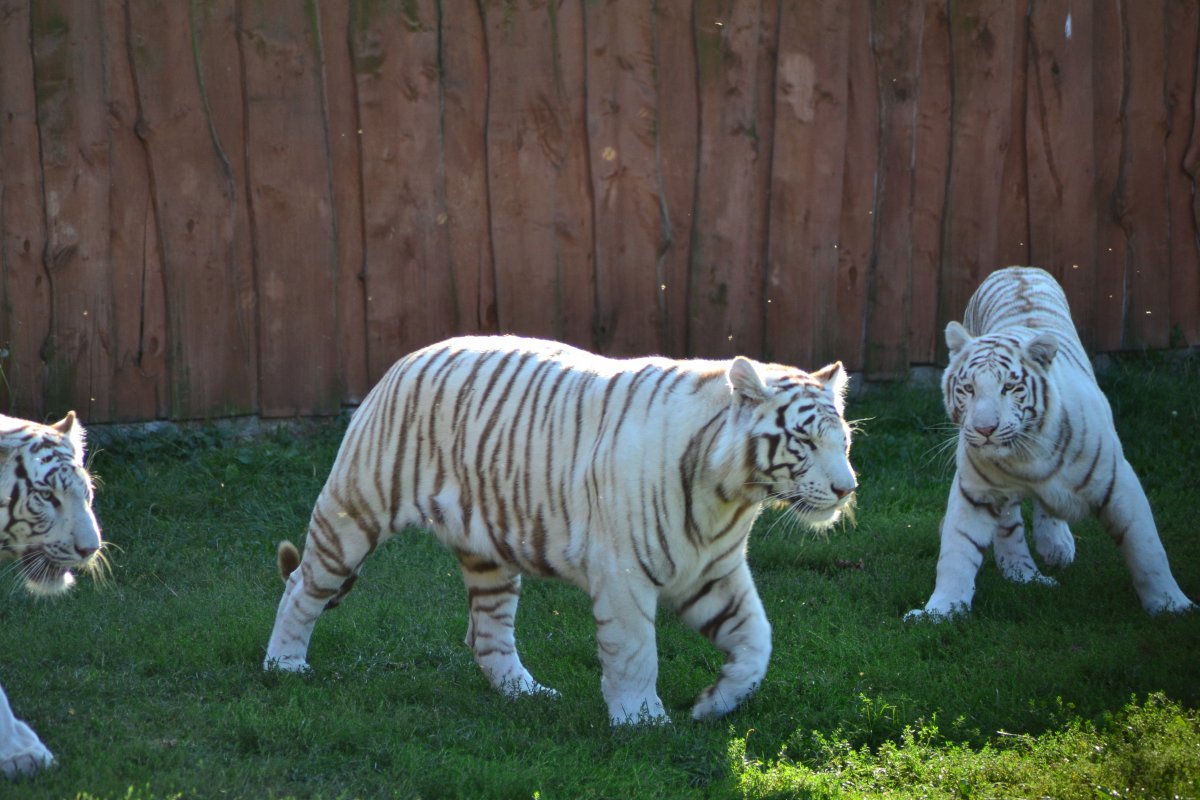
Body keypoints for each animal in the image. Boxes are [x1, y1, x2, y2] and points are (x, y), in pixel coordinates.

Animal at [267, 335, 859, 724]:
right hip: (354, 510)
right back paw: (284, 665)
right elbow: (635, 652)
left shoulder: (713, 571)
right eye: (805, 441)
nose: (846, 489)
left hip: (490, 554)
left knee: (487, 633)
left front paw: (715, 703)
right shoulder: (623, 575)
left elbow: (757, 640)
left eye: (844, 441)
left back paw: (526, 694)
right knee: (302, 586)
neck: (730, 497)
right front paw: (643, 721)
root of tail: (405, 359)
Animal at [902, 267, 1195, 618]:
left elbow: (1147, 549)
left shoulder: (1118, 483)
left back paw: (1055, 547)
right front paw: (941, 611)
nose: (985, 429)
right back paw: (1024, 575)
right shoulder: (974, 490)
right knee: (1009, 528)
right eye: (968, 388)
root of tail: (1016, 268)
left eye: (1009, 387)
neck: (1025, 456)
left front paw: (1171, 605)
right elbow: (957, 552)